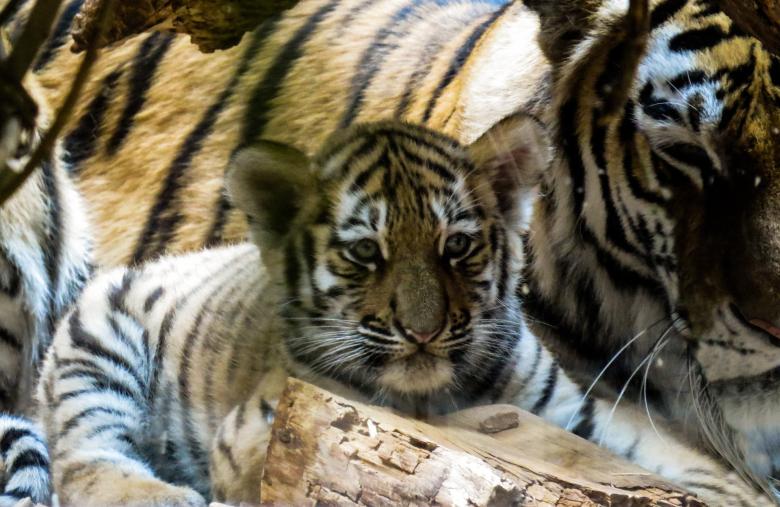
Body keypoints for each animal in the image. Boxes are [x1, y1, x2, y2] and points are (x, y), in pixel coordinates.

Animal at [22, 0, 780, 498]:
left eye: (459, 246)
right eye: (684, 150)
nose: (421, 332)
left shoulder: (583, 409)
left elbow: (681, 465)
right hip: (96, 332)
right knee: (84, 448)